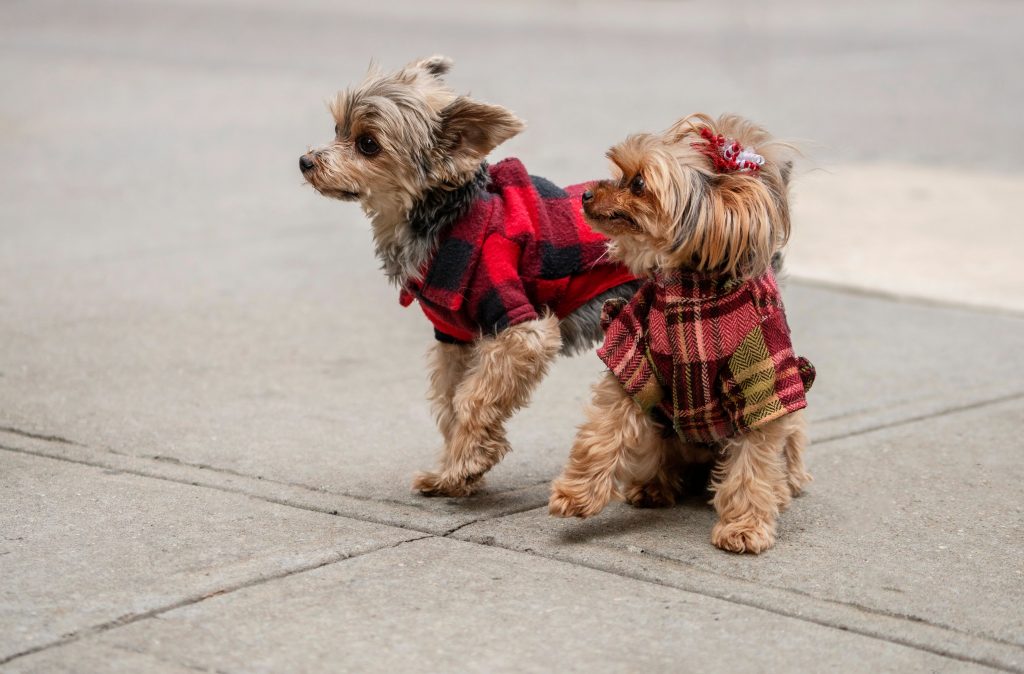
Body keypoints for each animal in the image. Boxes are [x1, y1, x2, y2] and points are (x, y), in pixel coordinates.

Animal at [299, 57, 638, 495]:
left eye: (367, 144)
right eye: (337, 128)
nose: (305, 161)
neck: (445, 221)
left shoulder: (519, 331)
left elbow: (473, 398)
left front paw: (466, 465)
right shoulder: (454, 337)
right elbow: (449, 400)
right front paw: (449, 471)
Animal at [548, 112, 811, 553]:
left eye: (638, 183)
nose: (585, 195)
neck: (692, 291)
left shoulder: (761, 380)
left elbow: (753, 464)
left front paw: (744, 527)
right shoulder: (633, 356)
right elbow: (603, 431)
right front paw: (576, 493)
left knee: (785, 451)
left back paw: (785, 487)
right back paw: (654, 485)